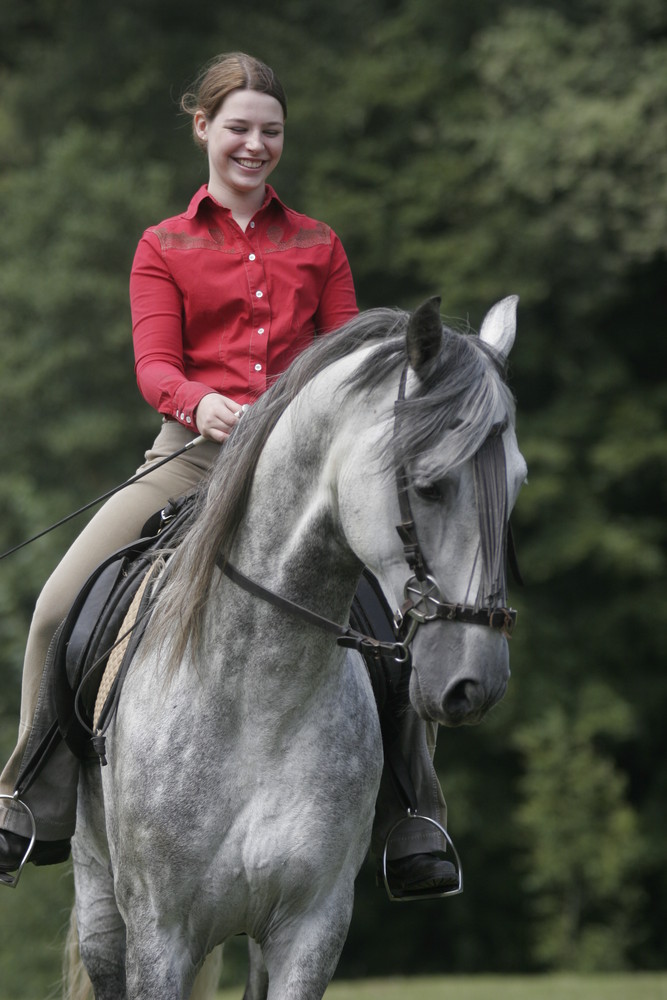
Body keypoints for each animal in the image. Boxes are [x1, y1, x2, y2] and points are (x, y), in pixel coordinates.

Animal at [66, 296, 528, 1000]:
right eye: (428, 486)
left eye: (518, 483)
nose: (476, 680)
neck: (258, 695)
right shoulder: (157, 935)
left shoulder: (310, 931)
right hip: (101, 906)